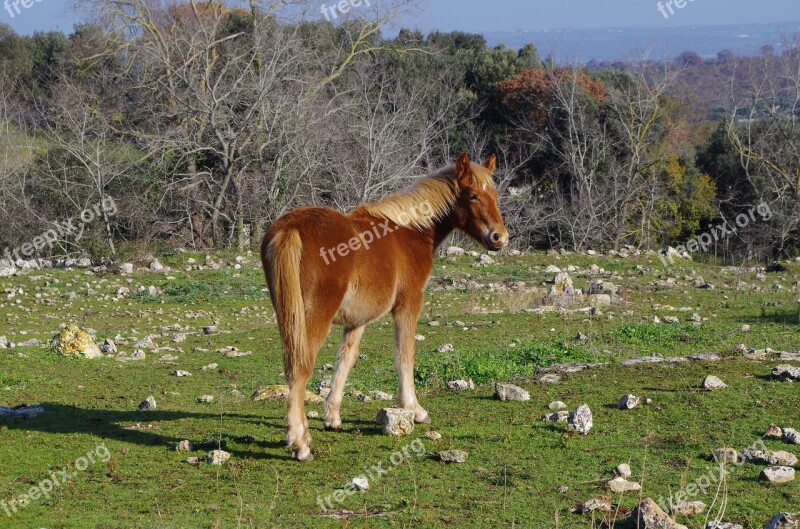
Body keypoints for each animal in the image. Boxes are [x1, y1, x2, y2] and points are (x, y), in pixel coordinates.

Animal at [260, 152, 506, 458]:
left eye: (495, 194)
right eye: (472, 195)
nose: (500, 237)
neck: (410, 230)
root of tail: (291, 228)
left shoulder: (357, 319)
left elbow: (346, 359)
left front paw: (333, 416)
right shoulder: (408, 304)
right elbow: (405, 354)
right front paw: (414, 409)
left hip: (287, 314)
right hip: (314, 316)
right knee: (300, 366)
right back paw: (300, 442)